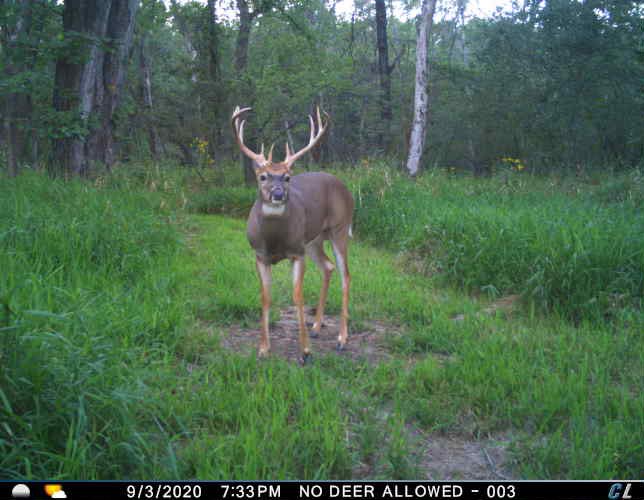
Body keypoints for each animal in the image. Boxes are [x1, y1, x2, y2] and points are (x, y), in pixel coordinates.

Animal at [231, 106, 354, 364]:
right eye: (263, 176)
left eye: (287, 177)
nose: (278, 194)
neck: (274, 240)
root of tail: (345, 188)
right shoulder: (259, 255)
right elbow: (265, 296)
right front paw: (263, 349)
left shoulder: (297, 252)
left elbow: (297, 296)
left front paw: (305, 351)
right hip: (313, 240)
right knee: (328, 266)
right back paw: (316, 327)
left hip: (339, 228)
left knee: (345, 274)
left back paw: (341, 339)